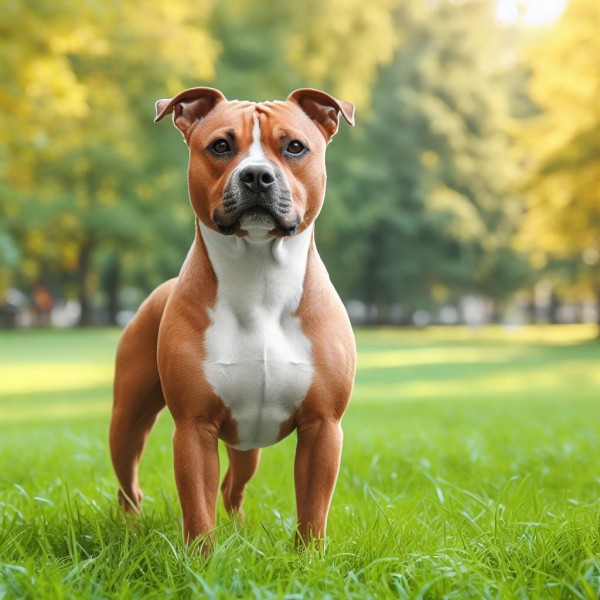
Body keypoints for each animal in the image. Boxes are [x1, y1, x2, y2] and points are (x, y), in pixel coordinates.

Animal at [109, 85, 356, 548]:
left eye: (295, 147)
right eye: (221, 146)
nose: (257, 175)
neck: (260, 282)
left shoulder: (323, 427)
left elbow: (313, 511)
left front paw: (309, 557)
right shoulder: (194, 427)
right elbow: (197, 510)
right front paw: (202, 558)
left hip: (246, 446)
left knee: (232, 487)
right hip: (128, 421)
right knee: (129, 488)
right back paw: (130, 532)